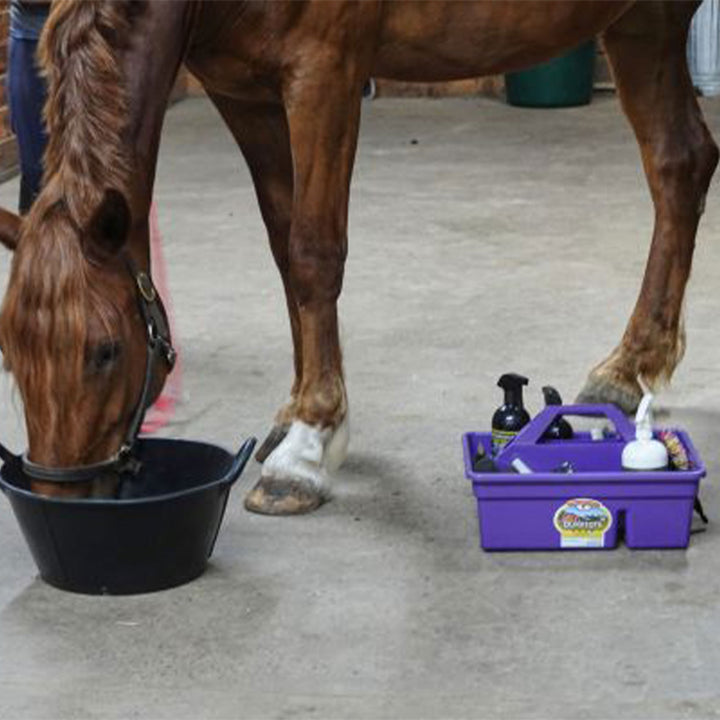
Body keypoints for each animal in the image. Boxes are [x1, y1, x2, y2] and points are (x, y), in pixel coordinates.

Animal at [0, 1, 716, 512]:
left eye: (104, 352)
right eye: (12, 354)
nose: (60, 494)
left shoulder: (324, 72)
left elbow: (314, 252)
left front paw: (308, 448)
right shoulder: (244, 92)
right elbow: (283, 245)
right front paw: (297, 414)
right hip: (643, 23)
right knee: (679, 164)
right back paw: (625, 370)